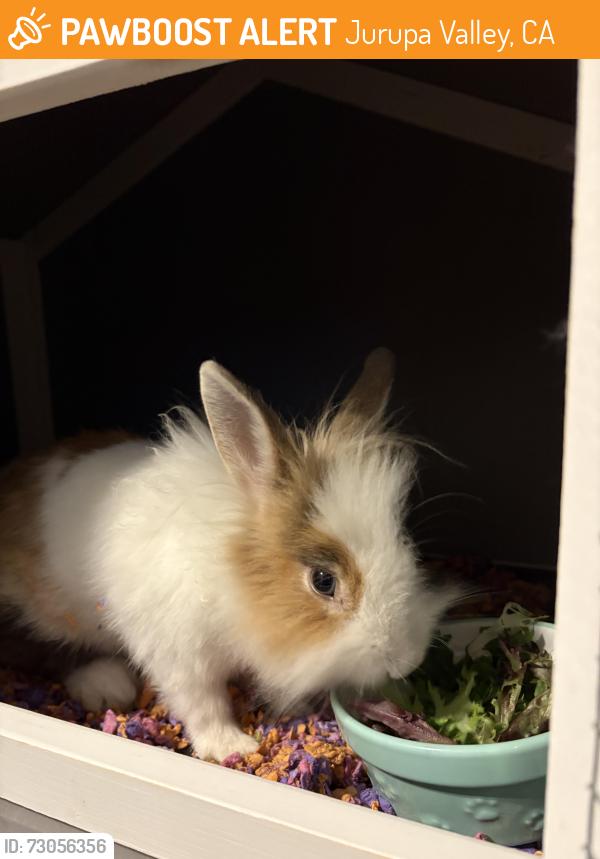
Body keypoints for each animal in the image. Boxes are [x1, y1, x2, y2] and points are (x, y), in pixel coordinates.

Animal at [0, 348, 457, 761]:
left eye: (406, 544)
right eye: (323, 581)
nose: (405, 661)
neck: (229, 575)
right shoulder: (177, 650)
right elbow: (202, 702)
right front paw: (231, 747)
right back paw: (105, 683)